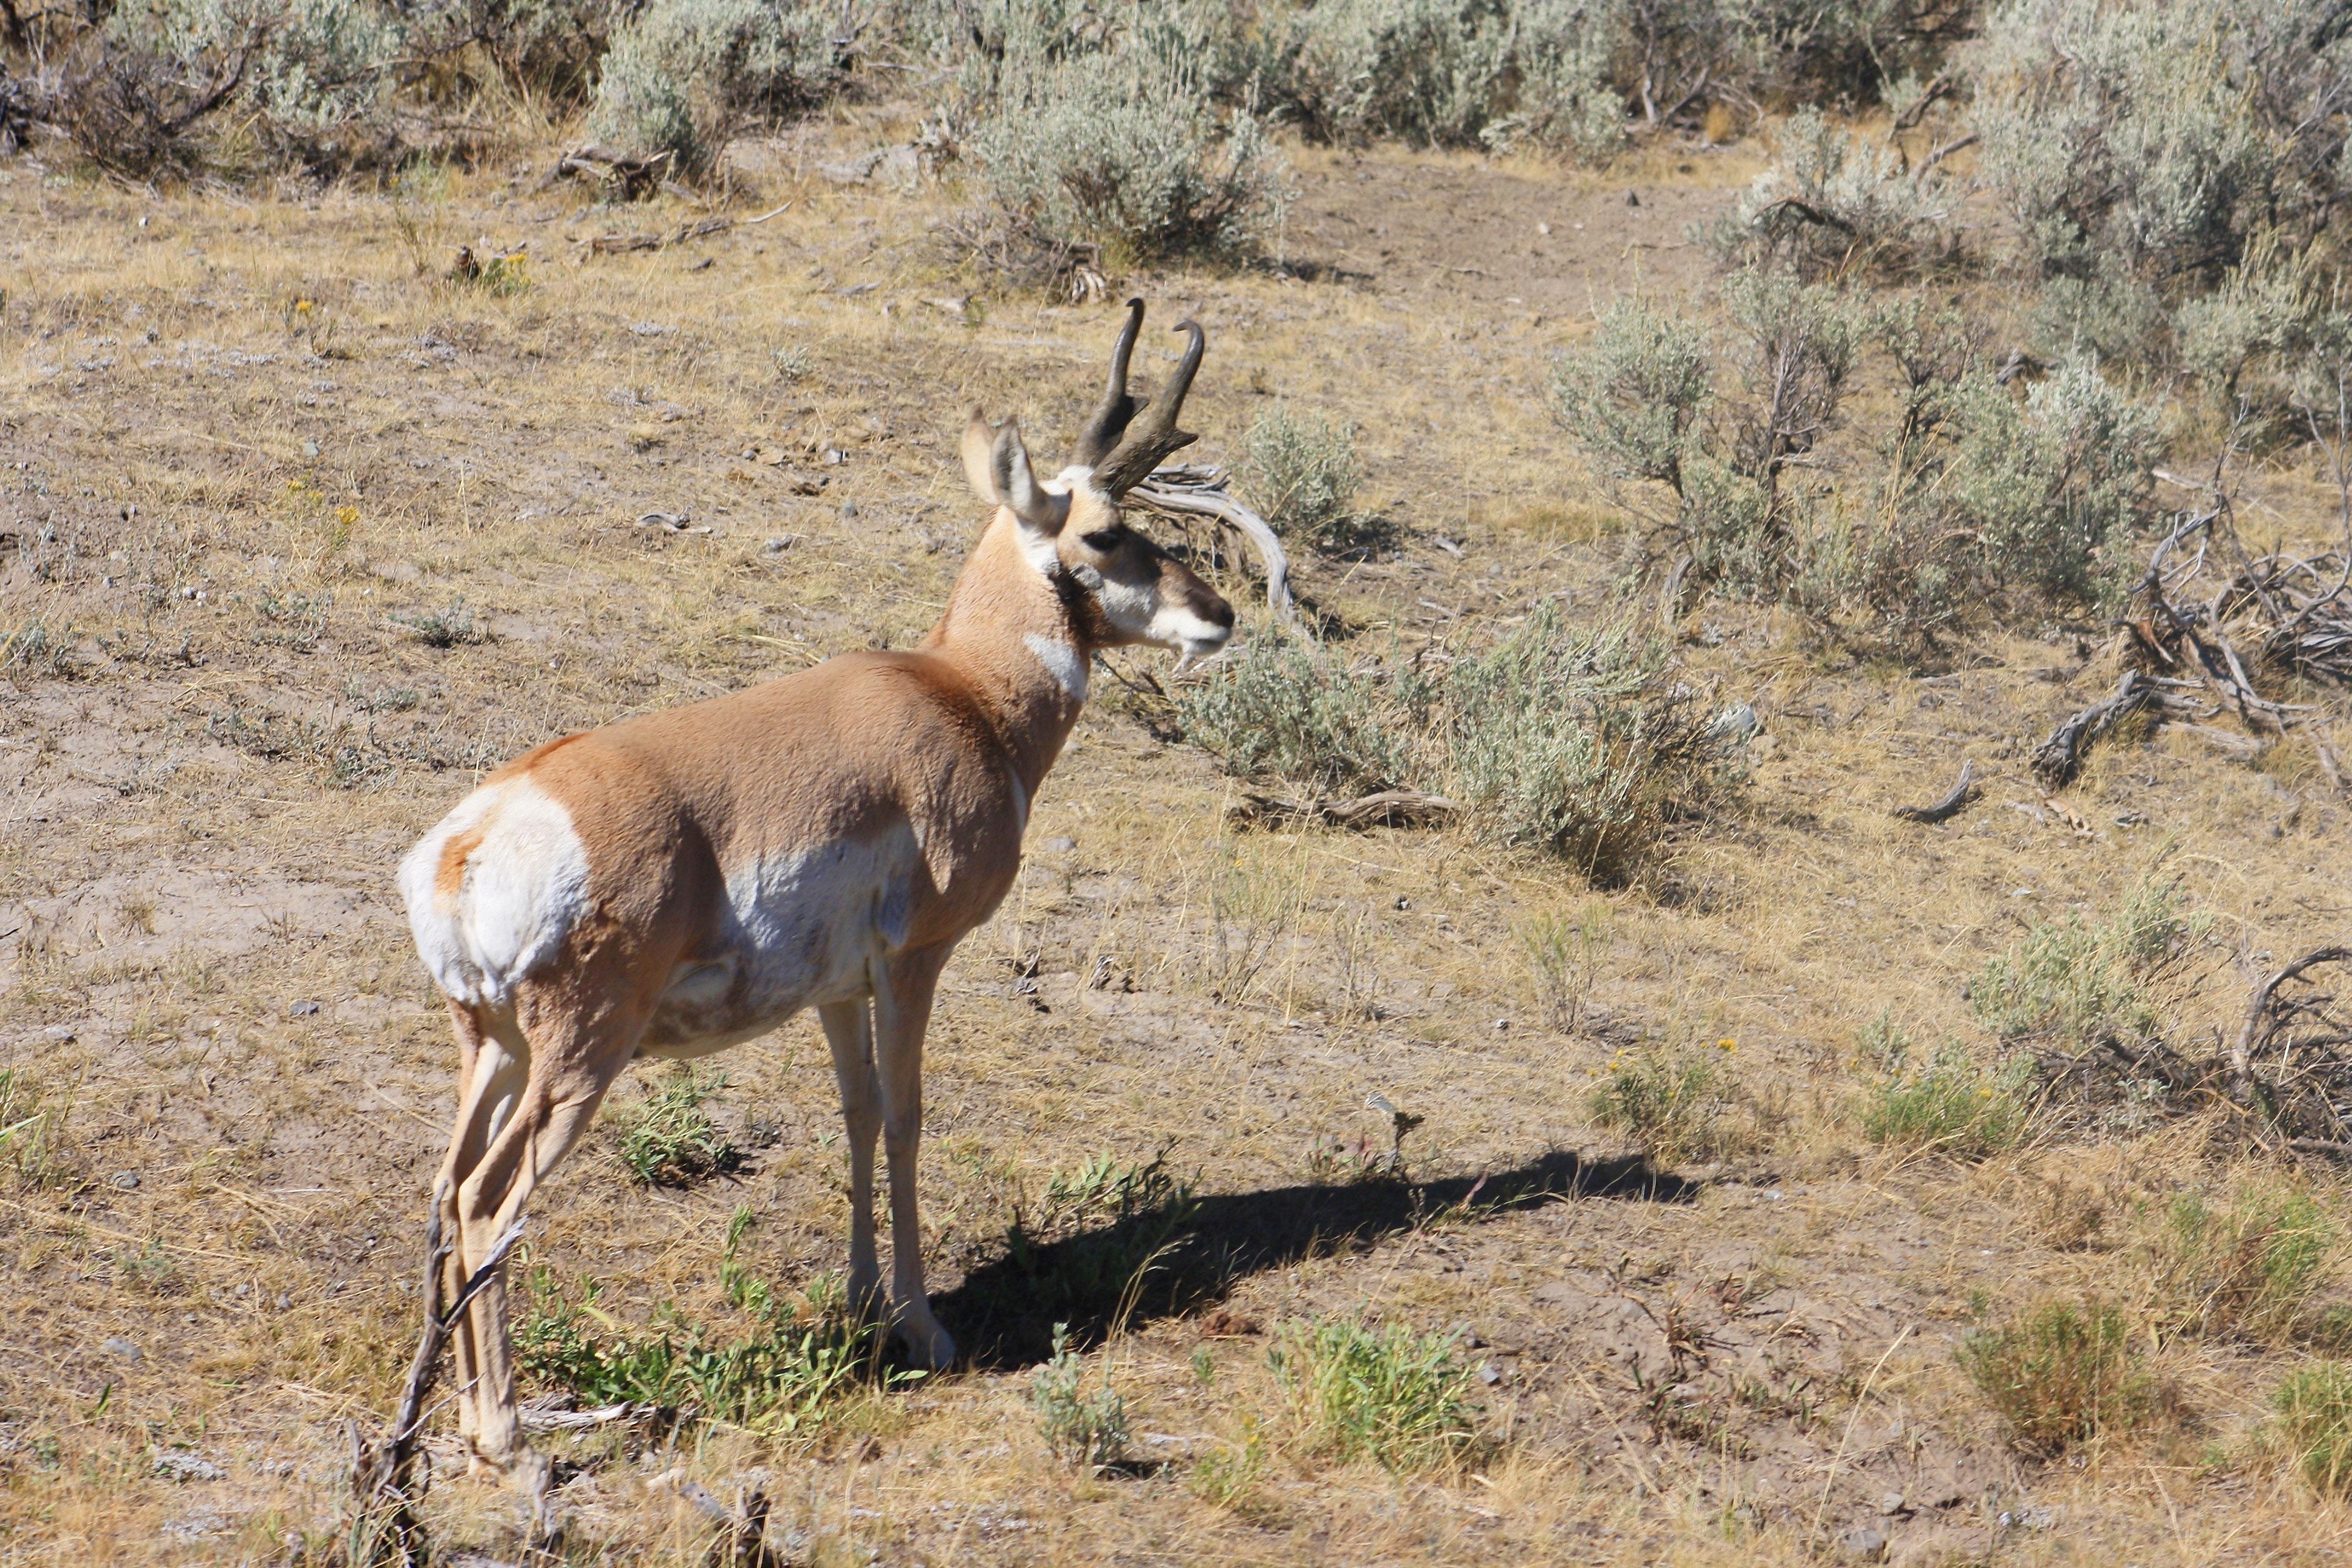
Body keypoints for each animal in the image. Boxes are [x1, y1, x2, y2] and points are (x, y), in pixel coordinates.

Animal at [395, 303, 1241, 1476]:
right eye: (1108, 532)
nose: (1221, 614)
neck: (962, 693)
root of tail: (473, 838)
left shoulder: (838, 989)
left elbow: (856, 1114)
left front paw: (860, 1304)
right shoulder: (916, 961)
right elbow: (910, 1116)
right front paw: (925, 1327)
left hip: (493, 1050)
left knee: (442, 1188)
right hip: (578, 1060)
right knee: (487, 1203)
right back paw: (505, 1431)